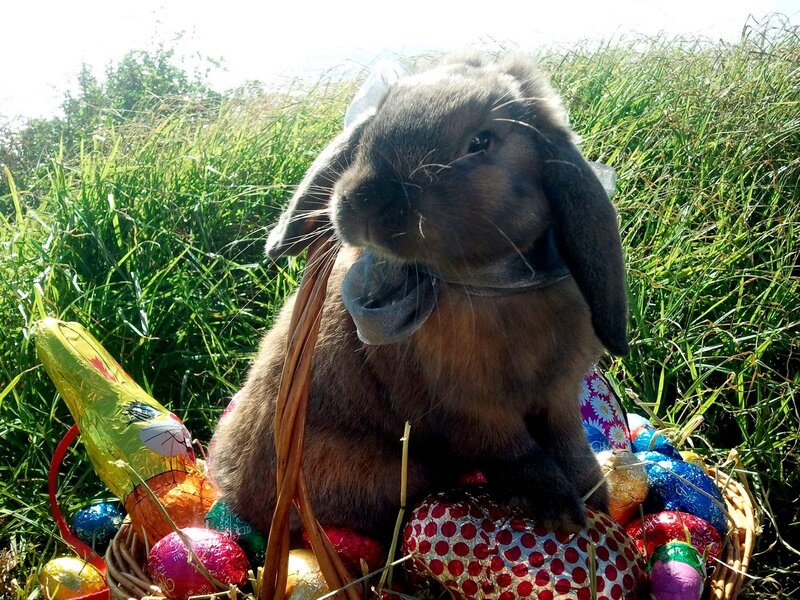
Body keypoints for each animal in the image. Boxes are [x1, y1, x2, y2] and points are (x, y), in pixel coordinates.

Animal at [209, 54, 629, 539]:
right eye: (375, 123)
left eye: (481, 141)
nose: (363, 202)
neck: (490, 281)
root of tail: (229, 492)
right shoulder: (472, 412)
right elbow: (516, 454)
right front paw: (557, 508)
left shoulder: (558, 396)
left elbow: (570, 445)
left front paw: (591, 498)